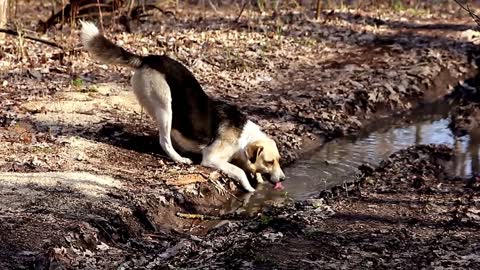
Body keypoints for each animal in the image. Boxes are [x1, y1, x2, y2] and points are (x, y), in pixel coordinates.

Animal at [80, 21, 284, 192]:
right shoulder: (211, 157)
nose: (283, 178)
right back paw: (179, 158)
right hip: (164, 105)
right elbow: (239, 171)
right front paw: (250, 188)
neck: (243, 135)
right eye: (269, 162)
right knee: (164, 141)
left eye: (278, 161)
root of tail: (148, 59)